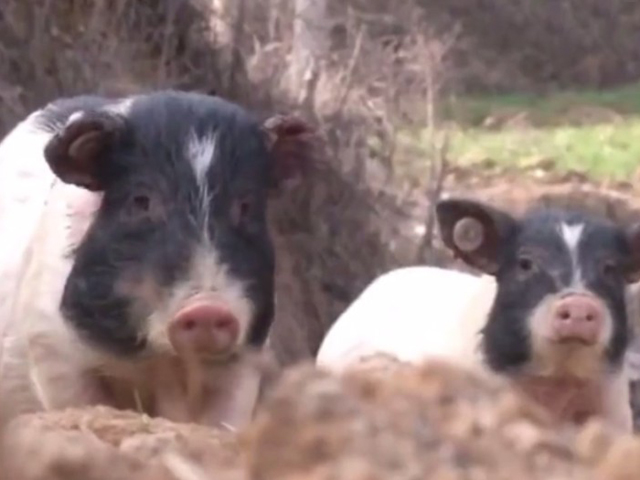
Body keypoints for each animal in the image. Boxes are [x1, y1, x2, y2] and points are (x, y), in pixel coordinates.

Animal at [0, 90, 318, 432]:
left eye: (246, 206)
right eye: (141, 201)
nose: (207, 308)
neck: (158, 362)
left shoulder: (244, 359)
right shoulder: (50, 342)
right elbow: (79, 401)